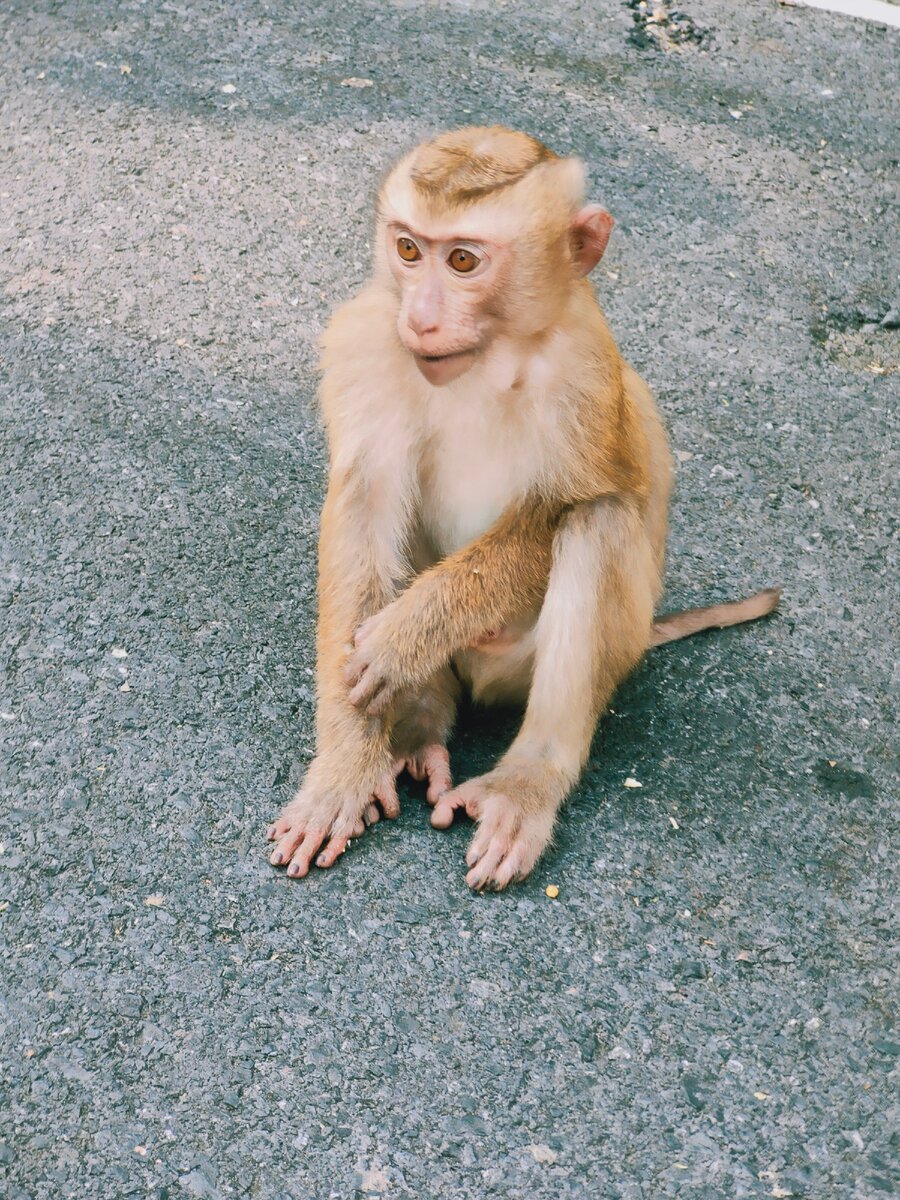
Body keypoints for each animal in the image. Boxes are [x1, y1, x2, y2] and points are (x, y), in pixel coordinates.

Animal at [264, 126, 777, 892]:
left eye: (464, 260)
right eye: (409, 249)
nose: (421, 317)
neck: (485, 360)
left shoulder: (583, 368)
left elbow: (574, 501)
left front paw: (403, 636)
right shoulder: (365, 341)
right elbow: (363, 510)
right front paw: (343, 771)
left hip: (548, 662)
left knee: (599, 523)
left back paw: (526, 784)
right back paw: (413, 734)